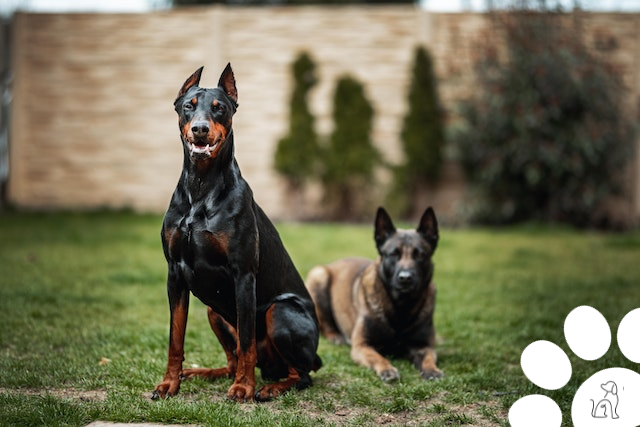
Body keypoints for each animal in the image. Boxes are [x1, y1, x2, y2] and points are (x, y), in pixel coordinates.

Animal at [150, 65, 320, 402]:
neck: (201, 186)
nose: (200, 129)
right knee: (232, 359)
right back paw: (204, 373)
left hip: (280, 310)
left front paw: (243, 388)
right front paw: (169, 383)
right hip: (214, 312)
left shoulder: (243, 274)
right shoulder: (175, 273)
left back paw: (269, 388)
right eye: (188, 105)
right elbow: (176, 339)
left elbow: (247, 342)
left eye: (220, 108)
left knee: (301, 373)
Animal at [304, 207, 440, 382]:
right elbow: (378, 357)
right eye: (393, 254)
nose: (405, 278)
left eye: (421, 255)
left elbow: (428, 358)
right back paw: (336, 336)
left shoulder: (423, 346)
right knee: (325, 324)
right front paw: (387, 369)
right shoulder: (362, 345)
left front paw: (432, 370)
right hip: (319, 275)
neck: (401, 308)